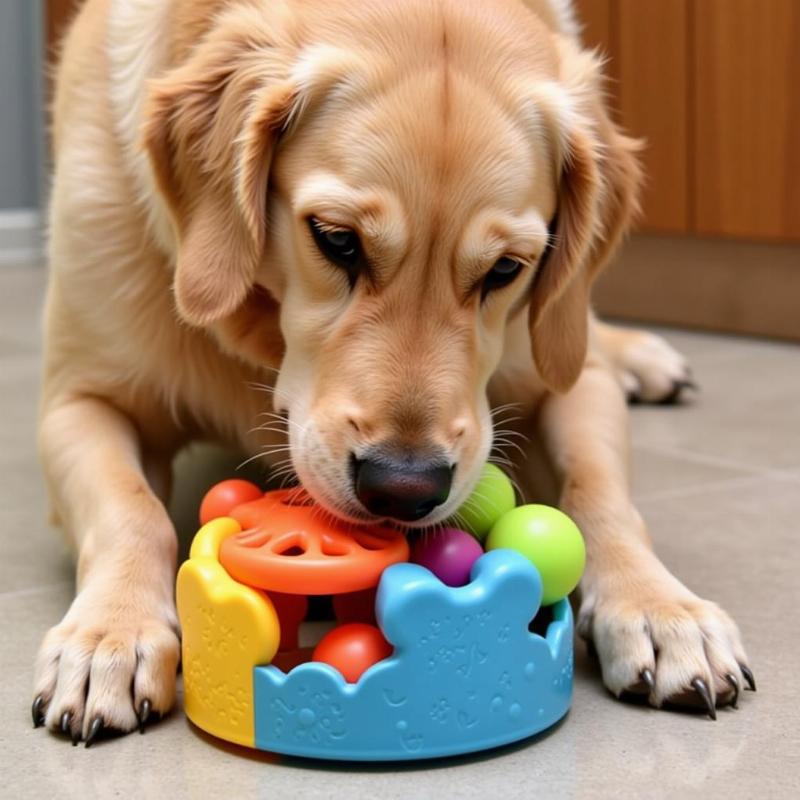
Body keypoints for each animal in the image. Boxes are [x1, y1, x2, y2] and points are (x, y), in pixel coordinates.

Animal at [34, 0, 752, 744]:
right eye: (336, 240)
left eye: (506, 269)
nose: (403, 489)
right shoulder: (79, 401)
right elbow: (133, 509)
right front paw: (112, 634)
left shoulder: (570, 378)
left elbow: (598, 493)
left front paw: (660, 608)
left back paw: (644, 356)